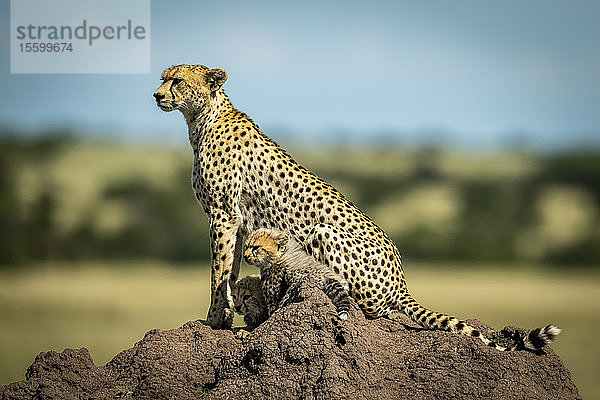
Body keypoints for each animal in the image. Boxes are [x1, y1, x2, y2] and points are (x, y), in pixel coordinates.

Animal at [152, 64, 560, 352]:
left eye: (177, 81)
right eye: (163, 79)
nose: (156, 95)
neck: (201, 119)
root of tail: (402, 281)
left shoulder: (223, 214)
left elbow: (219, 271)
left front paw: (213, 321)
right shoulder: (234, 221)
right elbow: (230, 269)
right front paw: (224, 315)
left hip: (323, 233)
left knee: (367, 309)